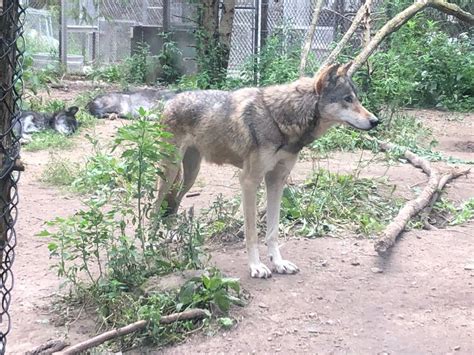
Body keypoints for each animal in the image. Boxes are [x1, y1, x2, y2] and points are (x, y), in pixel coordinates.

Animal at [156, 64, 382, 280]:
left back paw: (170, 235)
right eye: (347, 99)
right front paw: (256, 267)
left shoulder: (276, 180)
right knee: (155, 206)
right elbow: (252, 233)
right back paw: (151, 243)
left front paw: (279, 263)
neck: (280, 118)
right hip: (170, 172)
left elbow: (273, 230)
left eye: (356, 98)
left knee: (173, 203)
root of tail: (169, 101)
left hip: (190, 175)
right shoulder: (249, 181)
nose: (375, 121)